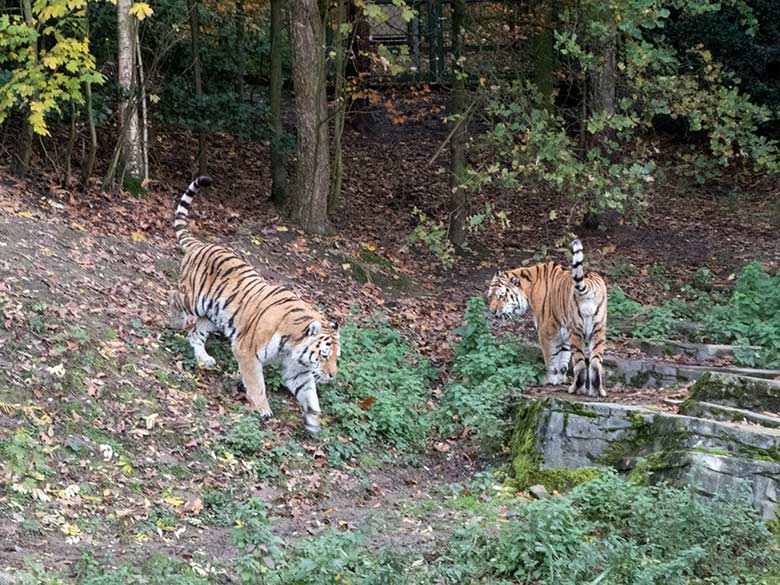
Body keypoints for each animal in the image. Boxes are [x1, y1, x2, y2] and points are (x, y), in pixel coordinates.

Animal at [168, 176, 338, 432]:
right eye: (325, 355)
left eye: (337, 357)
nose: (332, 376)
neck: (294, 346)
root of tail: (202, 245)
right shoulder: (246, 351)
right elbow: (257, 383)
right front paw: (263, 409)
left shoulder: (297, 371)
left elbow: (310, 395)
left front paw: (312, 420)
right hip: (193, 299)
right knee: (174, 298)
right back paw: (176, 322)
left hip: (215, 317)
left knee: (196, 333)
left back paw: (204, 359)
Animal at [488, 238, 608, 396]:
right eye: (490, 296)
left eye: (502, 296)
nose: (492, 311)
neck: (529, 287)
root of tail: (590, 284)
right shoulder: (564, 334)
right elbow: (563, 359)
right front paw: (560, 380)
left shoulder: (547, 331)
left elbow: (551, 359)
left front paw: (549, 380)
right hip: (598, 331)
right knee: (595, 363)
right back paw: (597, 391)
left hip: (578, 332)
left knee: (581, 364)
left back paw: (576, 389)